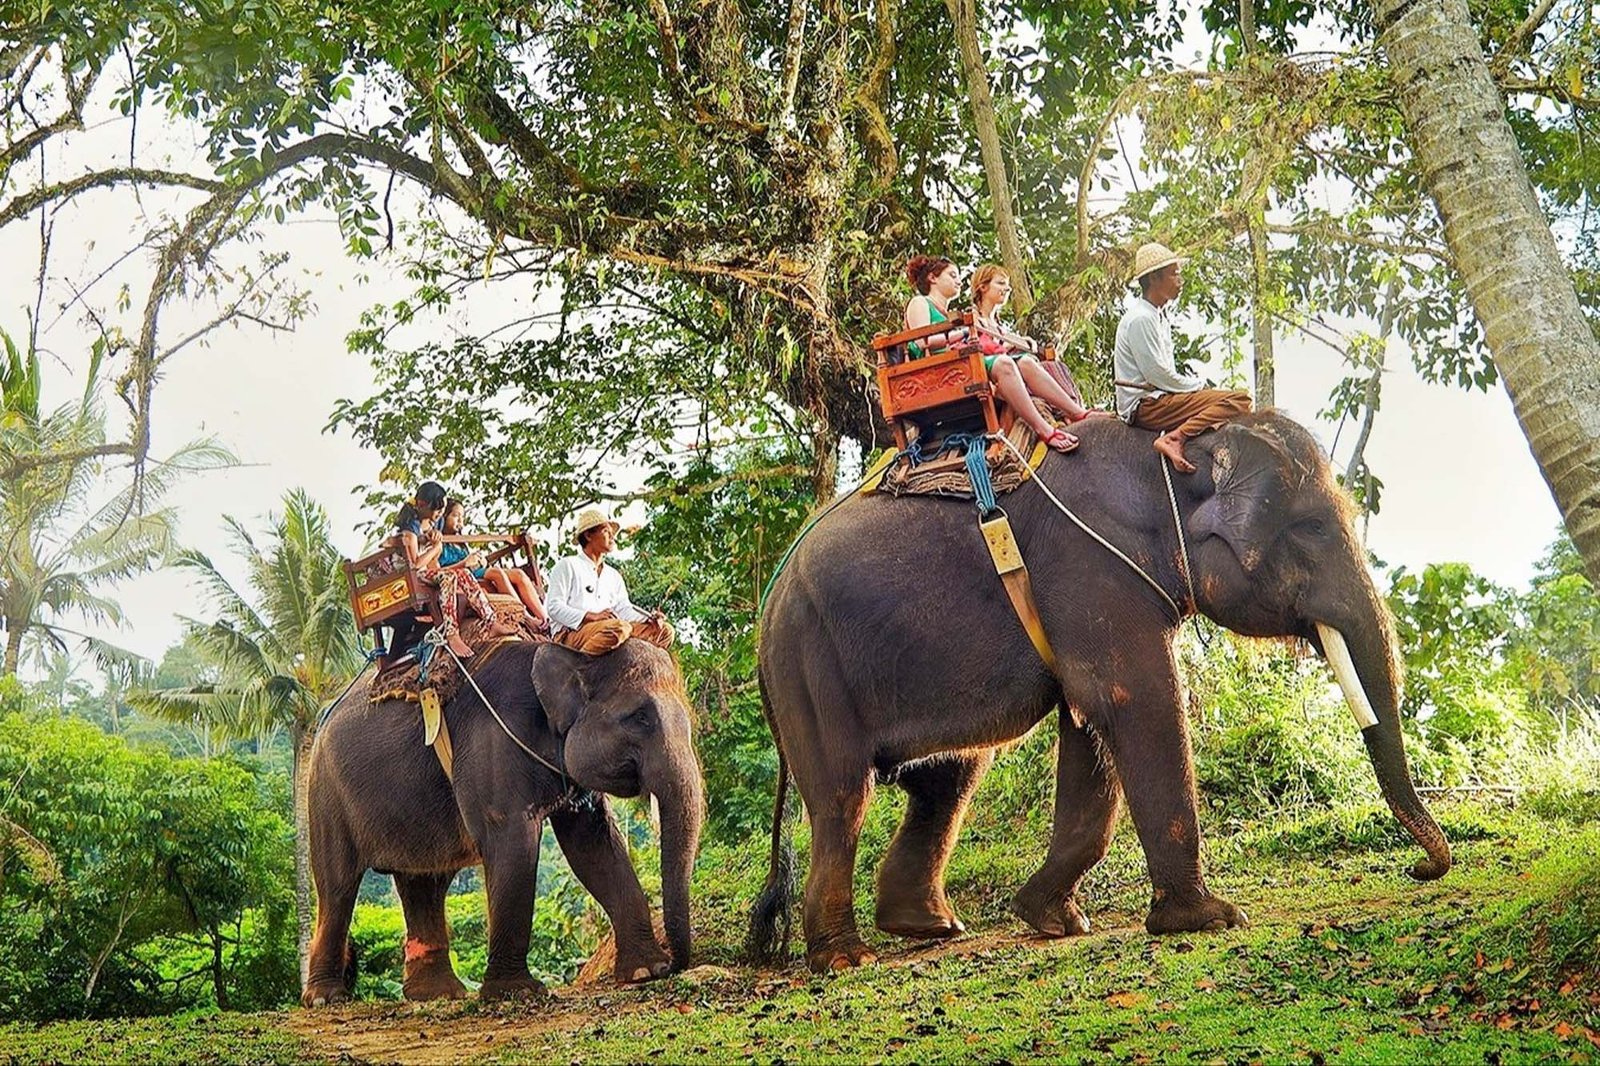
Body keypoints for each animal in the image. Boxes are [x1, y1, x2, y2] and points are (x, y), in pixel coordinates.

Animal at [301, 639, 704, 1006]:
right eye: (640, 717)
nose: (676, 964)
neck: (565, 652)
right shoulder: (492, 746)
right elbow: (513, 842)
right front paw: (515, 992)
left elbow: (593, 846)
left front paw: (645, 972)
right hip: (324, 794)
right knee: (337, 886)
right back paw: (326, 998)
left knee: (424, 882)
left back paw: (437, 995)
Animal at [748, 411, 1451, 972]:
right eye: (1310, 529)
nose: (1419, 868)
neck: (1169, 455)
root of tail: (766, 610)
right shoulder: (1091, 568)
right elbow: (1135, 700)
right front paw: (1211, 919)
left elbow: (1089, 726)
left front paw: (1053, 920)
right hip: (807, 664)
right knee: (843, 797)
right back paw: (845, 958)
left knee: (949, 778)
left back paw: (930, 927)